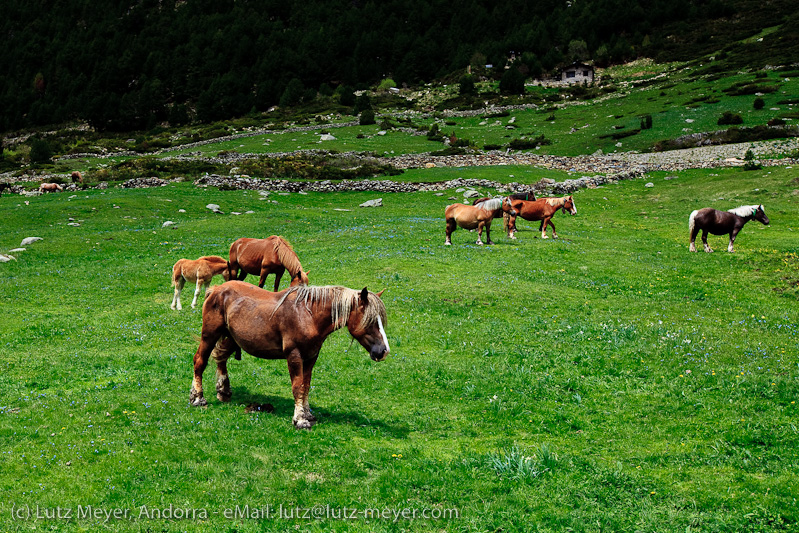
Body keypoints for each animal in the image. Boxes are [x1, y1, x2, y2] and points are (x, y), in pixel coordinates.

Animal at [188, 282, 388, 428]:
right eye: (370, 321)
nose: (383, 351)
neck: (308, 315)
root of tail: (216, 289)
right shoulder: (294, 356)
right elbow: (298, 387)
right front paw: (300, 419)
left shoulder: (311, 357)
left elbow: (306, 386)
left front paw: (307, 414)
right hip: (210, 335)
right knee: (200, 361)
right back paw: (197, 398)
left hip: (231, 337)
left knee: (221, 358)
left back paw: (223, 390)